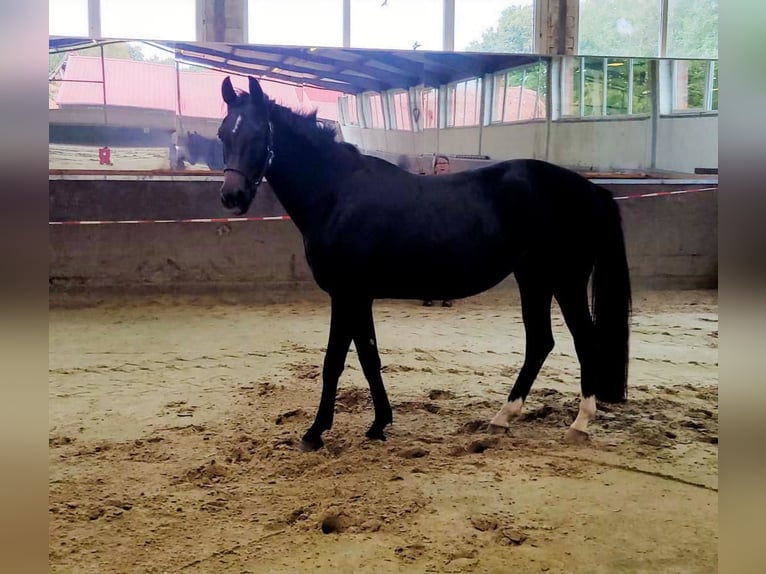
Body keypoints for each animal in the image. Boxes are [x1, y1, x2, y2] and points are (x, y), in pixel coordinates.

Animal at [217, 76, 632, 452]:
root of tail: (590, 188)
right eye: (224, 134)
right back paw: (503, 418)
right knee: (540, 342)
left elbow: (334, 361)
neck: (336, 193)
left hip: (565, 280)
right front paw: (379, 424)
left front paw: (315, 432)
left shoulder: (346, 294)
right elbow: (369, 356)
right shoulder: (360, 297)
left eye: (259, 133)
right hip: (534, 279)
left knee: (584, 340)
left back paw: (580, 424)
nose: (232, 196)